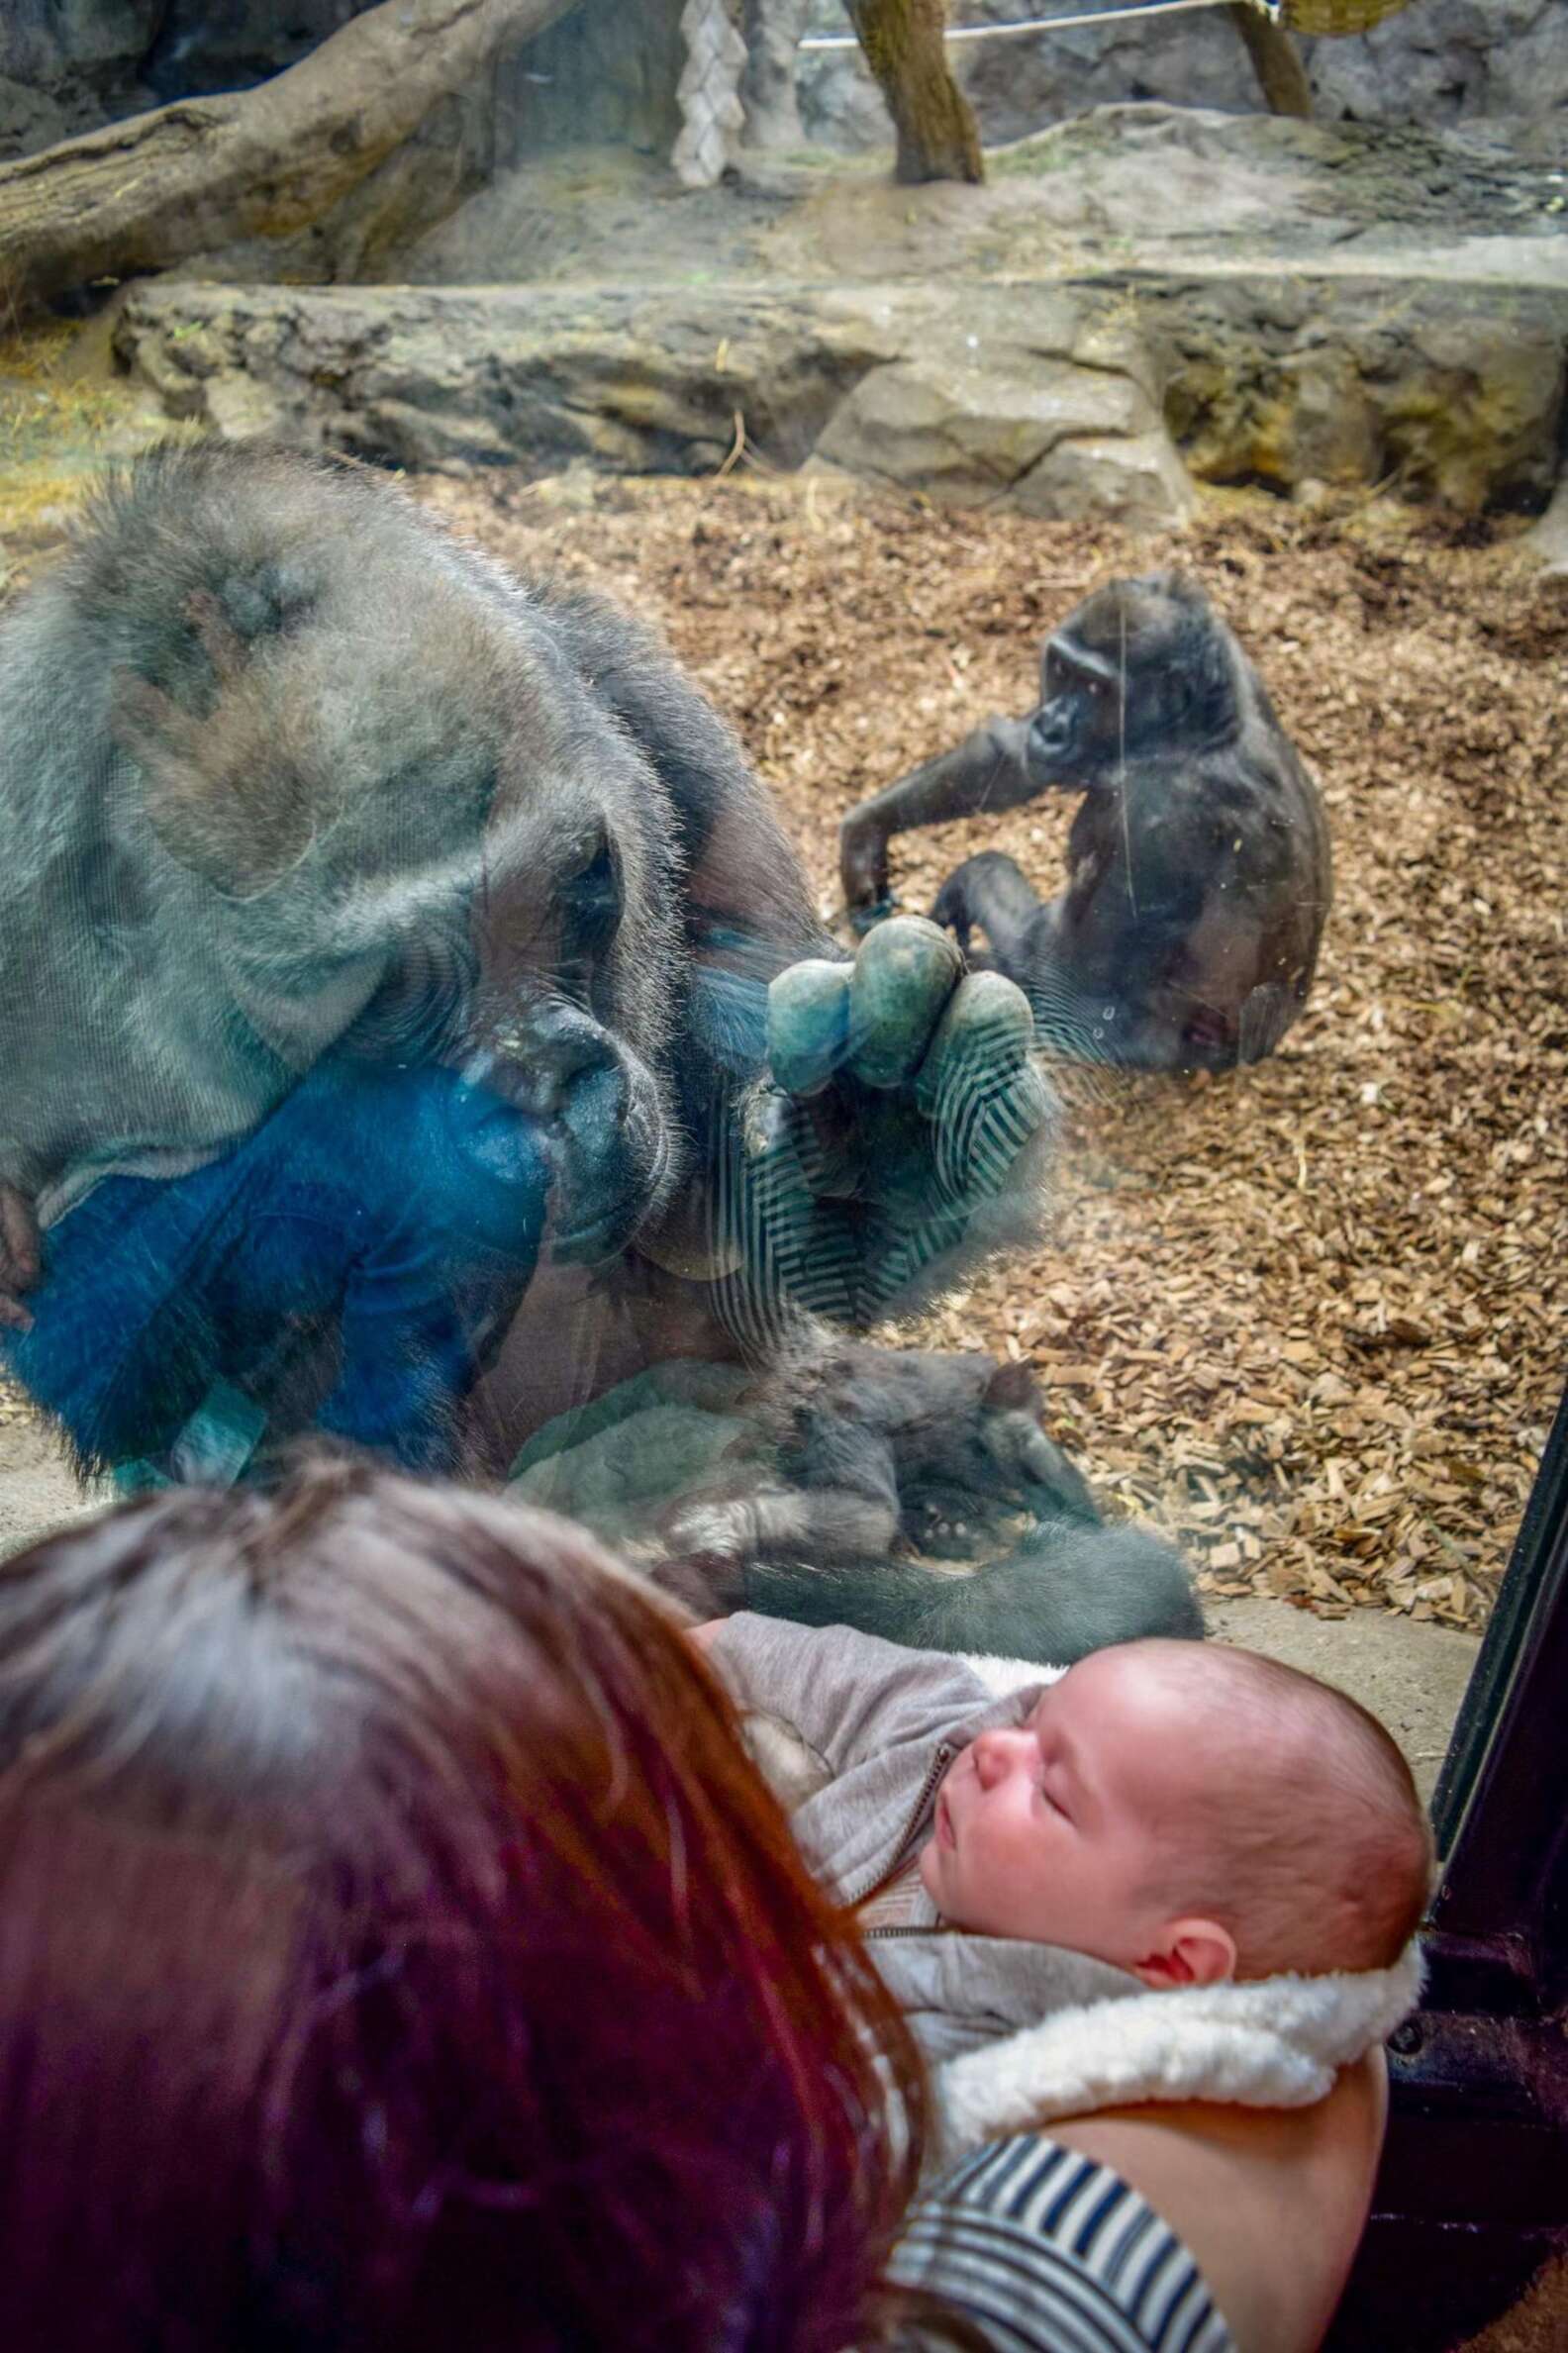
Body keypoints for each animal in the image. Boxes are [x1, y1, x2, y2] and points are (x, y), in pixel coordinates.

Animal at [0, 442, 1201, 1662]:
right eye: (386, 991)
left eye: (567, 888)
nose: (555, 1087)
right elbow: (109, 1330)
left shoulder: (620, 688)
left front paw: (878, 1140)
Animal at [839, 572, 1332, 1074]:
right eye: (1061, 670)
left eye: (1096, 689)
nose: (1051, 726)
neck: (1194, 729)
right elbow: (1015, 761)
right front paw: (865, 834)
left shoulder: (1154, 818)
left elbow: (1062, 968)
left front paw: (970, 877)